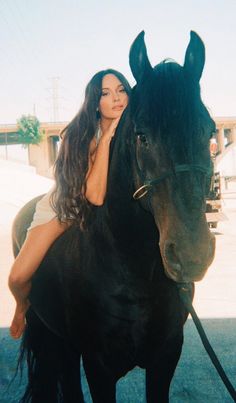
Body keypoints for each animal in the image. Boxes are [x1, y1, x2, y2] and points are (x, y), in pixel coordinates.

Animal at [12, 31, 216, 403]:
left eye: (209, 132)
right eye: (141, 135)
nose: (192, 254)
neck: (133, 271)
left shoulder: (165, 357)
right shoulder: (99, 366)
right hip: (50, 335)